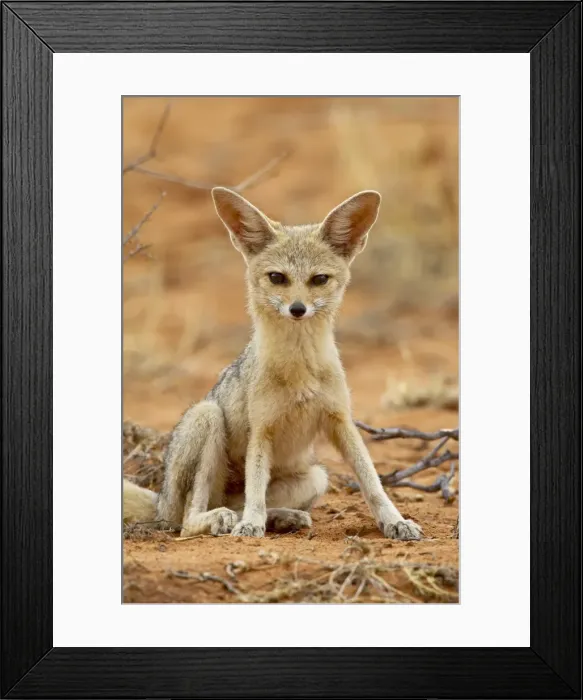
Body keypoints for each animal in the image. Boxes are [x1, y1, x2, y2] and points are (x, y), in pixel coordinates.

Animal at [123, 187, 422, 541]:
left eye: (319, 279)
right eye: (277, 277)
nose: (297, 309)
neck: (300, 368)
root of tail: (159, 502)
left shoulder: (341, 421)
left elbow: (372, 482)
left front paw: (395, 520)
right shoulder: (262, 429)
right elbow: (255, 490)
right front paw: (251, 525)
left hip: (316, 477)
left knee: (242, 505)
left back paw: (283, 518)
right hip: (207, 418)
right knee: (187, 522)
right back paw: (225, 520)